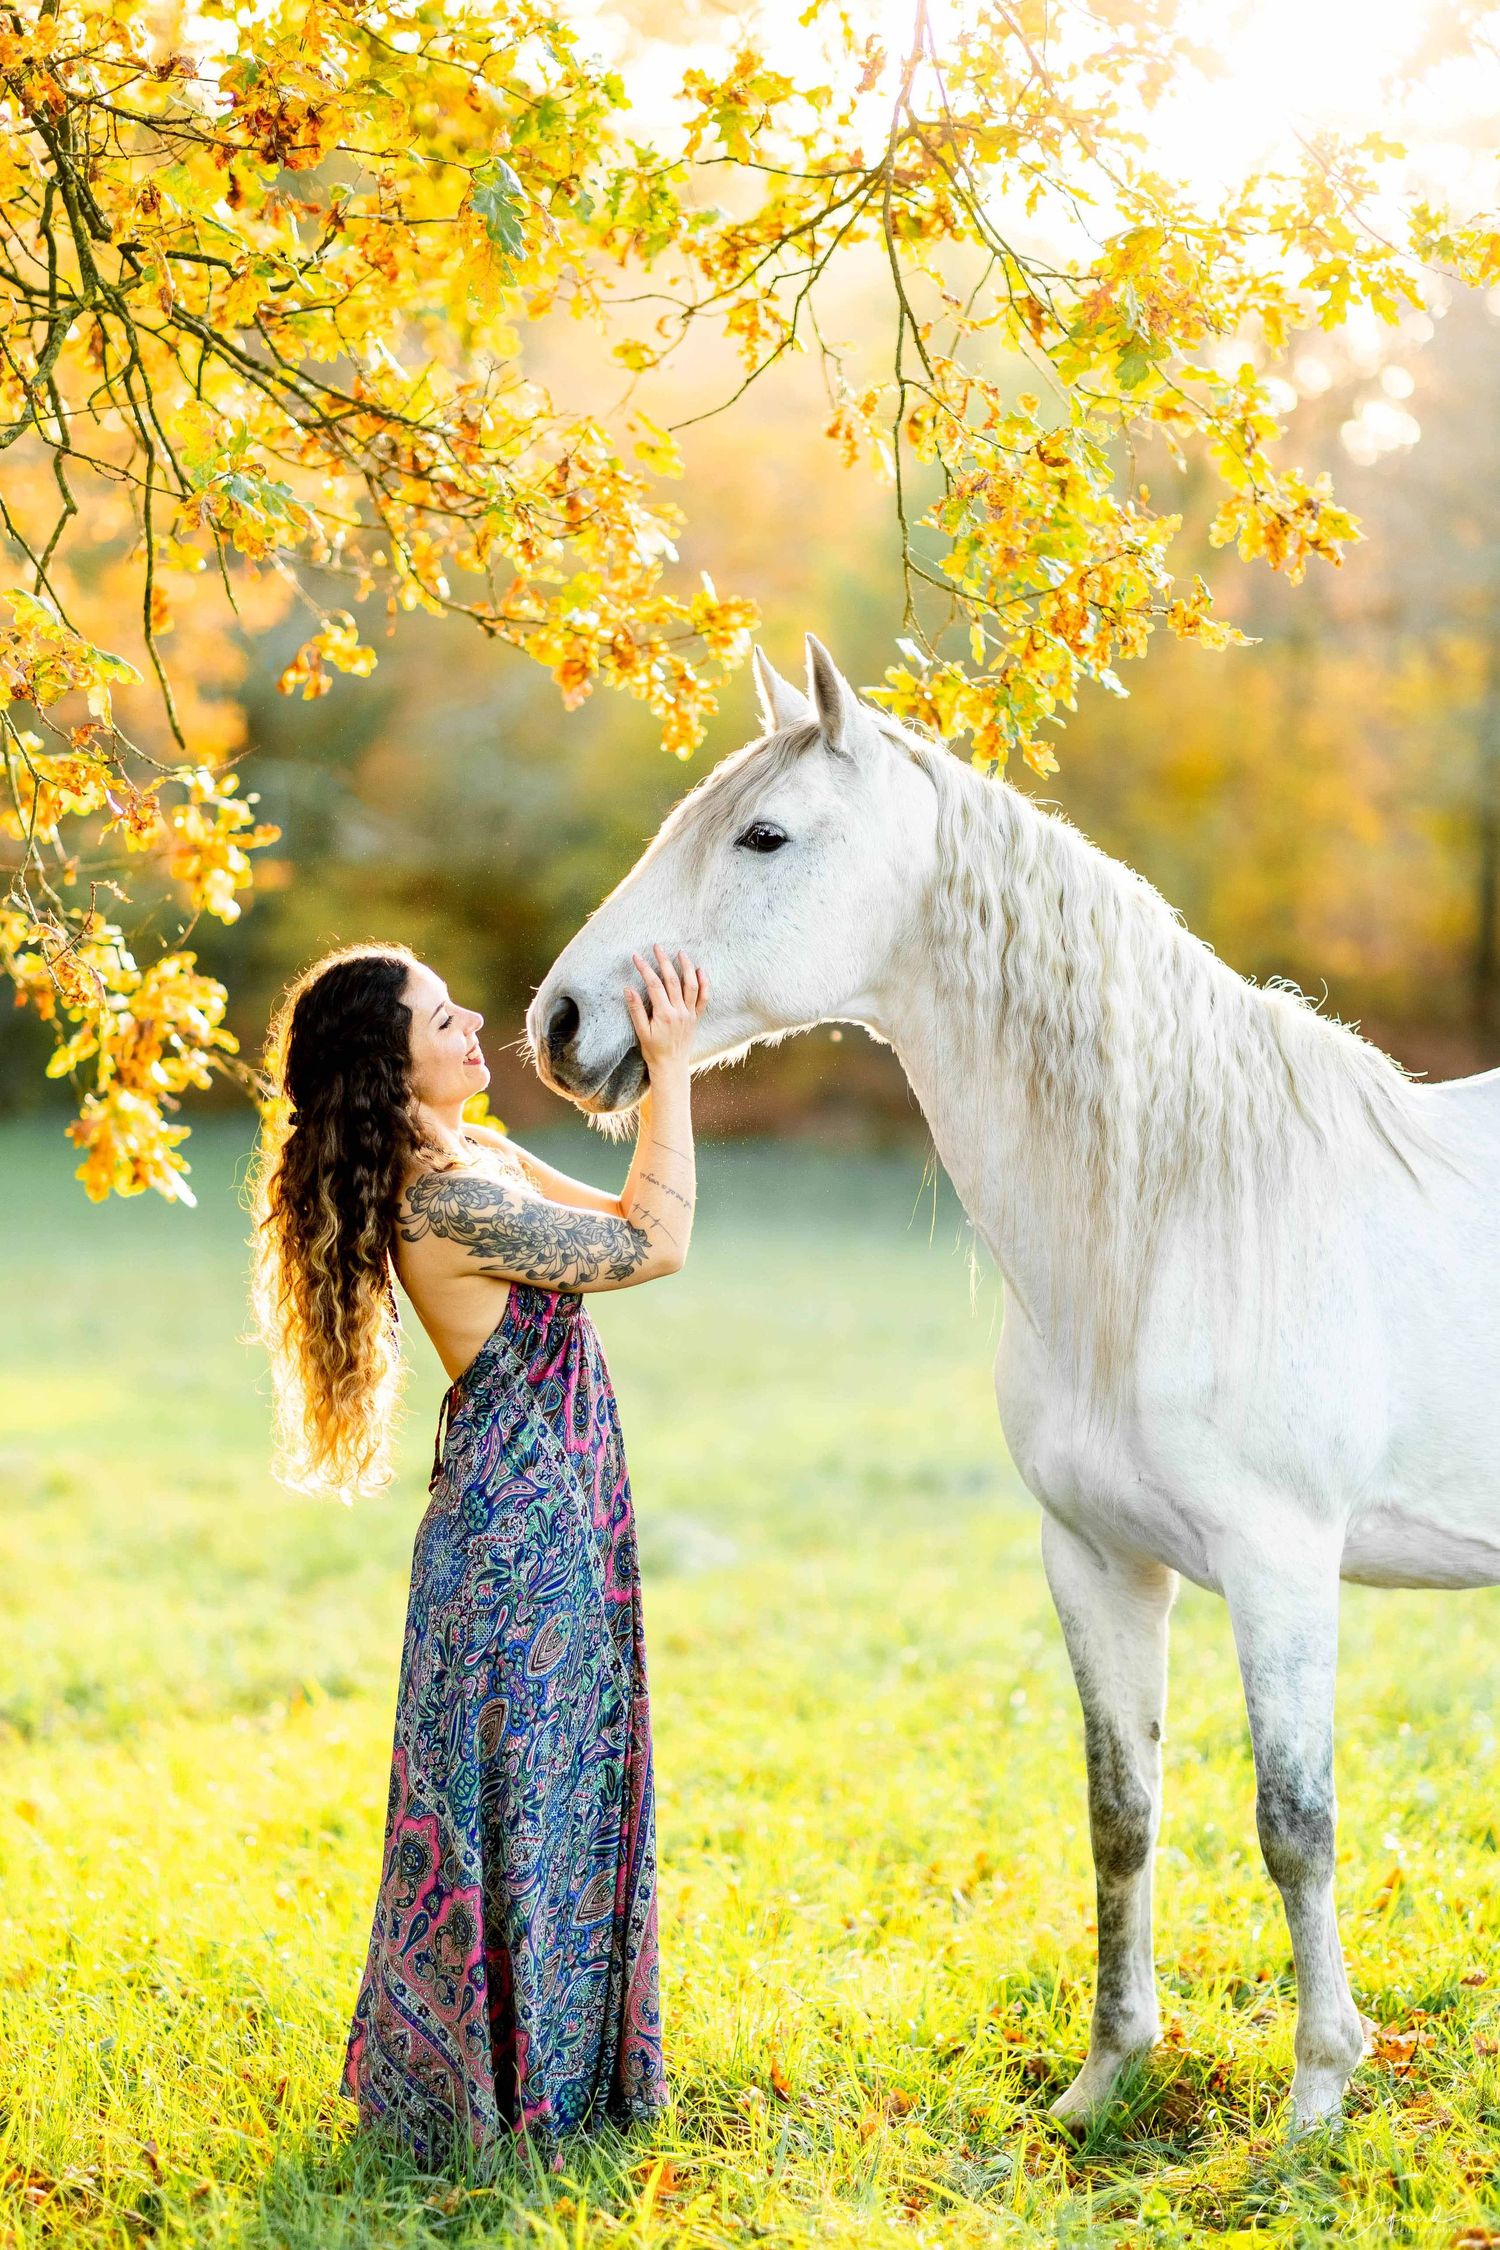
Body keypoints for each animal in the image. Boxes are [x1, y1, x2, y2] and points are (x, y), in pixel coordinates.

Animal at [526, 632, 1500, 2132]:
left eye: (764, 834)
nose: (560, 1019)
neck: (1171, 1218)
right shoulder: (1097, 1562)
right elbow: (1121, 1813)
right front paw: (1106, 2078)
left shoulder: (1282, 1565)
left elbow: (1295, 1823)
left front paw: (1315, 2098)